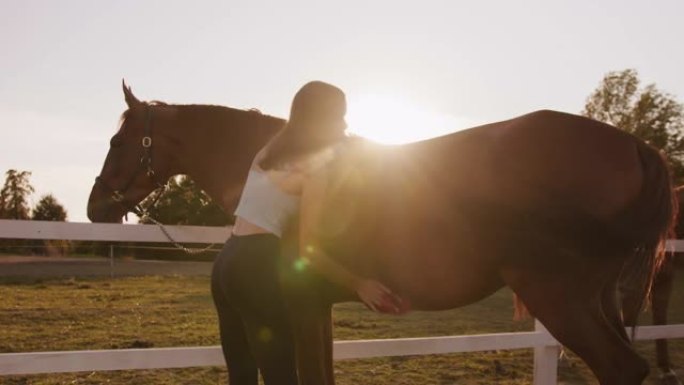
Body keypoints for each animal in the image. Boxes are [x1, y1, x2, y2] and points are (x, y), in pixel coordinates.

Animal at [89, 82, 680, 382]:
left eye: (118, 142)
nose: (96, 207)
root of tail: (635, 145)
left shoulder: (298, 307)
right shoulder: (318, 307)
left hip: (559, 297)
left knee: (621, 368)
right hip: (598, 298)